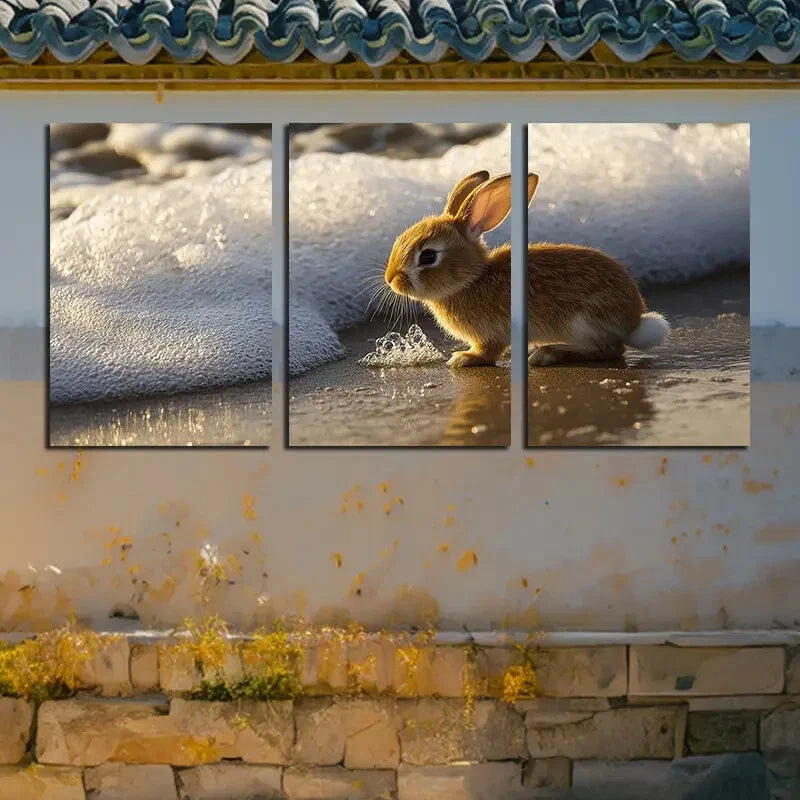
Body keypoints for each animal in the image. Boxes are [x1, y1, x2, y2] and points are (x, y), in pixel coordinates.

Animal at [384, 170, 670, 367]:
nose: (391, 279)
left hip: (585, 321)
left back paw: (548, 353)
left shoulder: (491, 335)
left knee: (610, 350)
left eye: (428, 256)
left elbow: (487, 352)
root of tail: (633, 322)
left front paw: (463, 358)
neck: (471, 280)